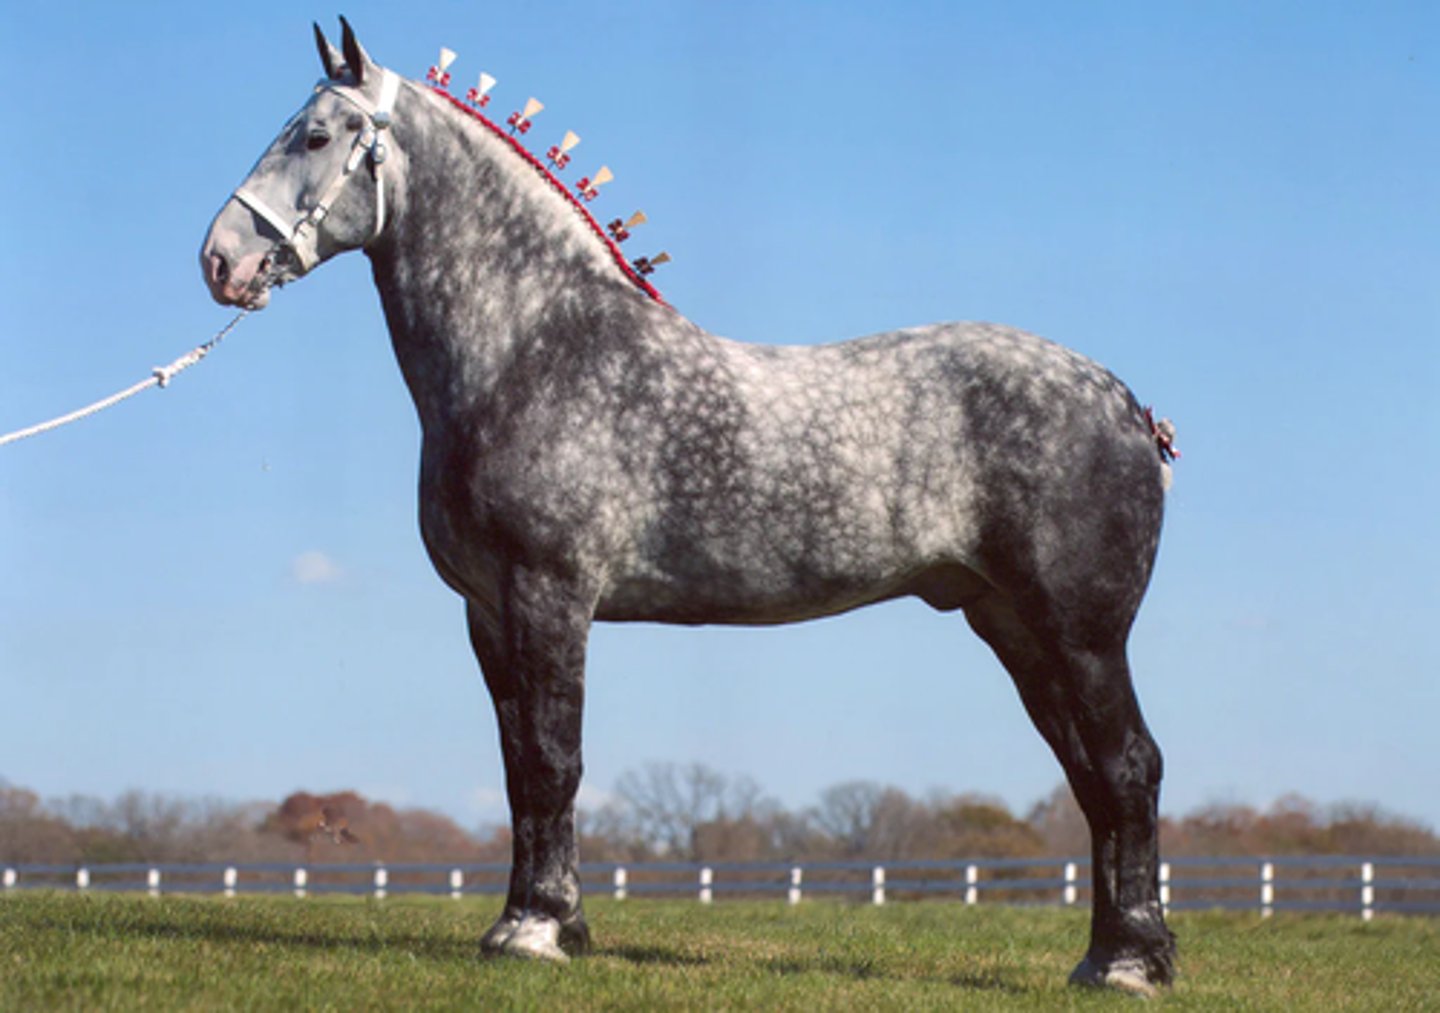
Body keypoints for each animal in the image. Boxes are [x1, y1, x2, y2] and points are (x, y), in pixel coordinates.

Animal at [201, 18, 1177, 995]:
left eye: (313, 136)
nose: (219, 259)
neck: (532, 346)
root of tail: (1128, 403)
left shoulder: (548, 594)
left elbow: (554, 758)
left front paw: (537, 927)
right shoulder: (487, 611)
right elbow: (519, 769)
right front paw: (538, 919)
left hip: (1080, 633)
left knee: (1128, 767)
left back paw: (1130, 962)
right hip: (1013, 625)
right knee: (1092, 778)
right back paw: (1110, 955)